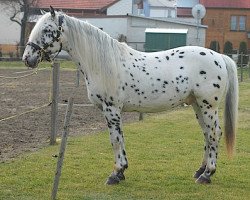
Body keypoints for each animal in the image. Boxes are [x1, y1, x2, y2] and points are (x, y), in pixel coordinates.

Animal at [23, 8, 238, 186]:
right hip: (197, 105)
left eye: (47, 30)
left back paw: (207, 174)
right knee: (207, 134)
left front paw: (116, 174)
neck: (104, 63)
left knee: (214, 134)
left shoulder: (111, 109)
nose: (27, 58)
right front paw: (121, 171)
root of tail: (219, 57)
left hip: (208, 106)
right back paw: (200, 170)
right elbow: (117, 139)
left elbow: (116, 140)